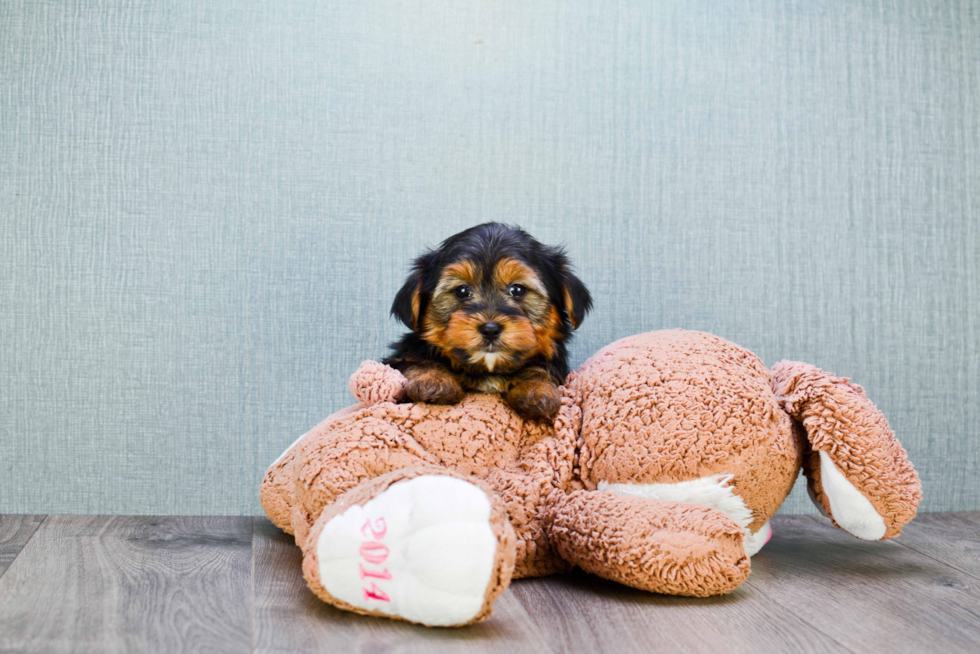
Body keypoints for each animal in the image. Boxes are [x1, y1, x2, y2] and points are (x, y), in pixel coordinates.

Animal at [382, 223, 588, 422]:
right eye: (462, 291)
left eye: (518, 290)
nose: (490, 329)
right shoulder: (401, 357)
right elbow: (416, 363)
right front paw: (432, 380)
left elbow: (542, 369)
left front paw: (537, 391)